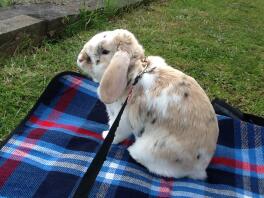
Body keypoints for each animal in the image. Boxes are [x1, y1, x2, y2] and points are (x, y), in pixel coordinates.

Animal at [76, 29, 219, 179]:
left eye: (105, 51)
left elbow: (116, 133)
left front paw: (105, 135)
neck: (132, 71)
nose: (80, 58)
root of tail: (199, 169)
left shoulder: (121, 119)